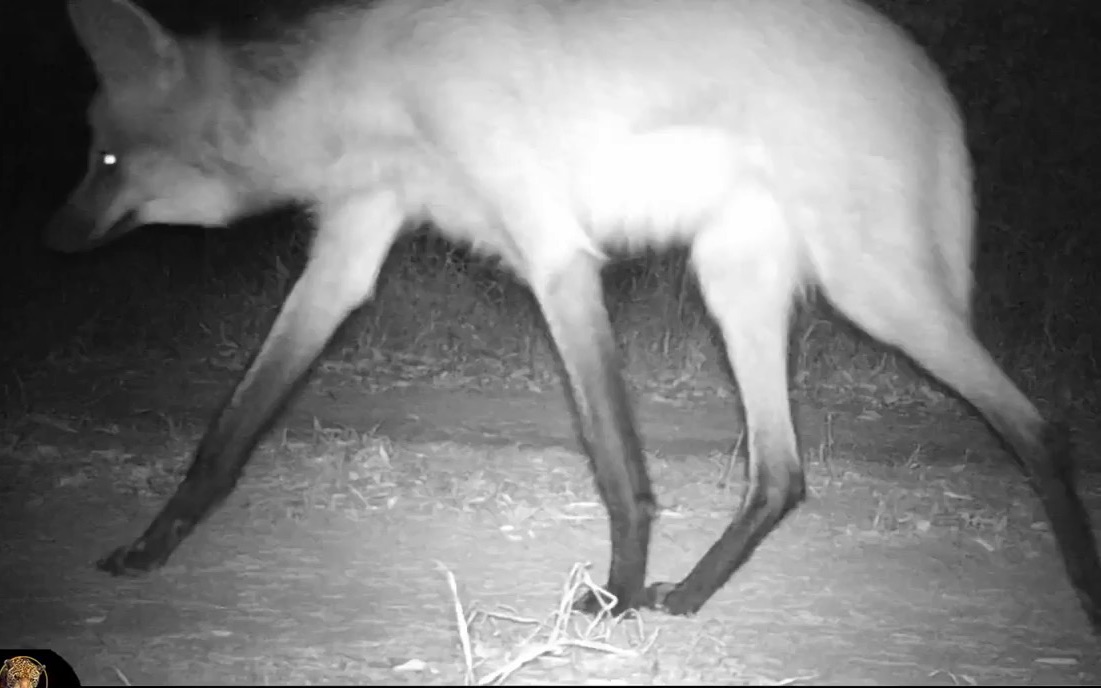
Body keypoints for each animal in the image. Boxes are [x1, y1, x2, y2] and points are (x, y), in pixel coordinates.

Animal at [47, 0, 1101, 629]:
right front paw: (147, 551)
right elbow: (224, 437)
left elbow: (617, 468)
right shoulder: (346, 257)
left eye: (107, 161)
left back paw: (1085, 588)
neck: (365, 91)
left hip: (868, 289)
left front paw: (618, 592)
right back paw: (689, 599)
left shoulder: (555, 258)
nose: (54, 241)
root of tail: (919, 67)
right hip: (735, 283)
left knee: (1038, 424)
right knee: (780, 473)